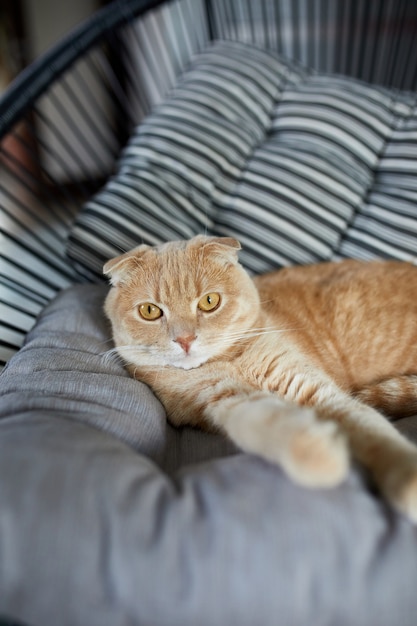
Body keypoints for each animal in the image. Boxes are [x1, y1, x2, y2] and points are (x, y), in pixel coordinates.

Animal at [103, 236, 417, 520]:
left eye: (209, 302)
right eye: (150, 311)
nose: (184, 339)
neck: (228, 362)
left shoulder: (312, 386)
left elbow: (373, 431)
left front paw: (407, 482)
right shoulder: (225, 400)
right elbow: (266, 425)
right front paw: (317, 451)